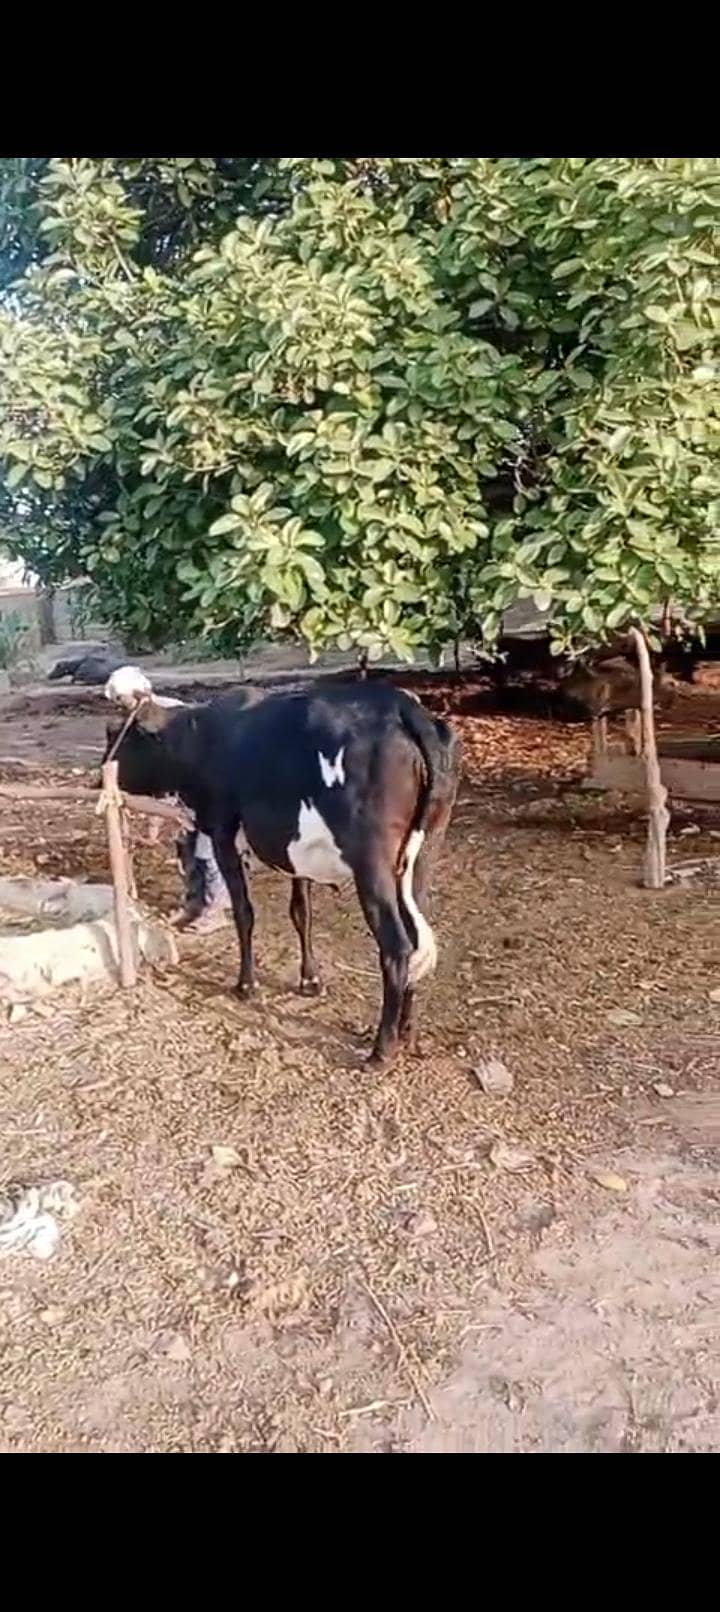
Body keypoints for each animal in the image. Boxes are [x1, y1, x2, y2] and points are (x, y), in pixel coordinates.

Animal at [103, 667, 461, 1066]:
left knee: (397, 945)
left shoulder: (223, 832)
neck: (200, 737)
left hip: (373, 863)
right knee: (416, 937)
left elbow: (244, 911)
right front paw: (310, 980)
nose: (101, 771)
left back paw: (382, 1049)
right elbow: (301, 912)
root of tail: (402, 706)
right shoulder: (296, 852)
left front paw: (246, 985)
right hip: (421, 856)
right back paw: (407, 1032)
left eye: (116, 733)